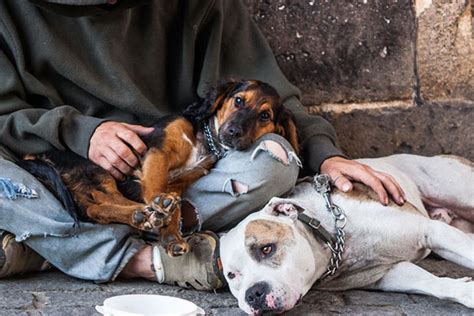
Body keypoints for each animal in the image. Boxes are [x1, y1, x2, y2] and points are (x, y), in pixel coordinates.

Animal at [20, 79, 300, 256]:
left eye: (264, 116)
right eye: (239, 101)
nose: (233, 132)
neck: (205, 141)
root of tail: (35, 155)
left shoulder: (182, 180)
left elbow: (173, 205)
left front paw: (172, 237)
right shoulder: (158, 151)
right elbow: (155, 184)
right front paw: (160, 206)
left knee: (96, 208)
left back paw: (142, 217)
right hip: (97, 168)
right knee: (100, 201)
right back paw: (143, 214)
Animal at [221, 154, 474, 314]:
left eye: (267, 249)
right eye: (232, 276)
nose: (253, 294)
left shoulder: (431, 231)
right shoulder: (386, 273)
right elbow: (430, 282)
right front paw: (465, 291)